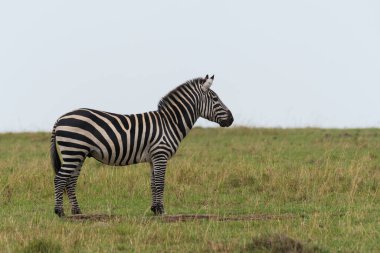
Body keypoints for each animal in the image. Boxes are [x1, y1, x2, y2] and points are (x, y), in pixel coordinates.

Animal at [49, 74, 233, 216]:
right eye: (215, 98)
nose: (231, 119)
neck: (170, 122)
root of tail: (60, 118)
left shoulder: (154, 158)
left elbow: (153, 183)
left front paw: (155, 209)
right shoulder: (161, 154)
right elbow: (160, 183)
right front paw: (162, 211)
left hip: (78, 154)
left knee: (70, 181)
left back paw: (77, 212)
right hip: (73, 151)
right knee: (59, 179)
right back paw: (60, 212)